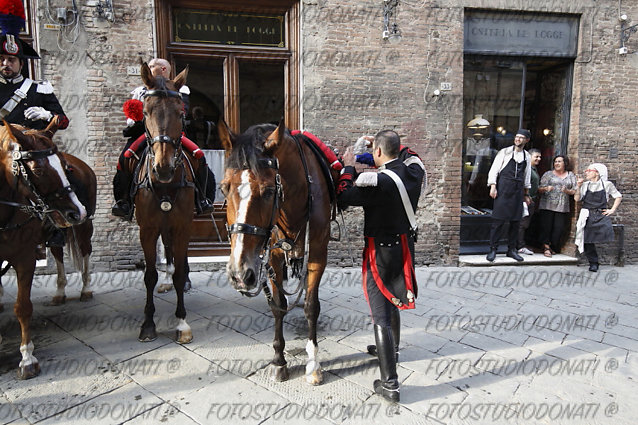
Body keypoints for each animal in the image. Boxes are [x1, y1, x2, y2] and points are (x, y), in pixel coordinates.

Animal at [0, 119, 87, 378]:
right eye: (37, 170)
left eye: (65, 167)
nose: (78, 211)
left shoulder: (24, 257)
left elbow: (23, 307)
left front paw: (27, 359)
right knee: (58, 254)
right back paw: (60, 293)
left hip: (83, 228)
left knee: (86, 252)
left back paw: (86, 289)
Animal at [221, 120, 340, 384]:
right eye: (224, 188)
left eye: (268, 191)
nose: (239, 274)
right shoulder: (273, 257)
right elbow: (277, 305)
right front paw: (278, 360)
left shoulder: (318, 254)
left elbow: (311, 306)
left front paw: (313, 364)